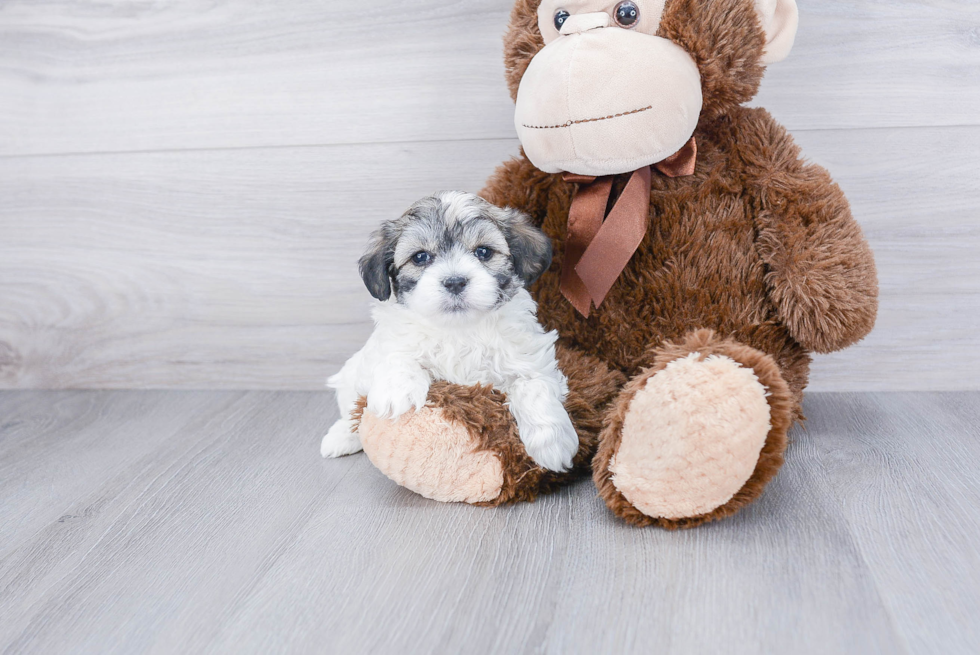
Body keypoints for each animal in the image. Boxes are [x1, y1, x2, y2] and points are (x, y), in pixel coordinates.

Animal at [322, 190, 580, 472]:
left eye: (483, 252)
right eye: (420, 257)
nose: (455, 281)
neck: (459, 329)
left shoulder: (529, 355)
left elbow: (534, 384)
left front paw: (552, 442)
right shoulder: (389, 343)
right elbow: (398, 356)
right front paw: (396, 393)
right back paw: (341, 436)